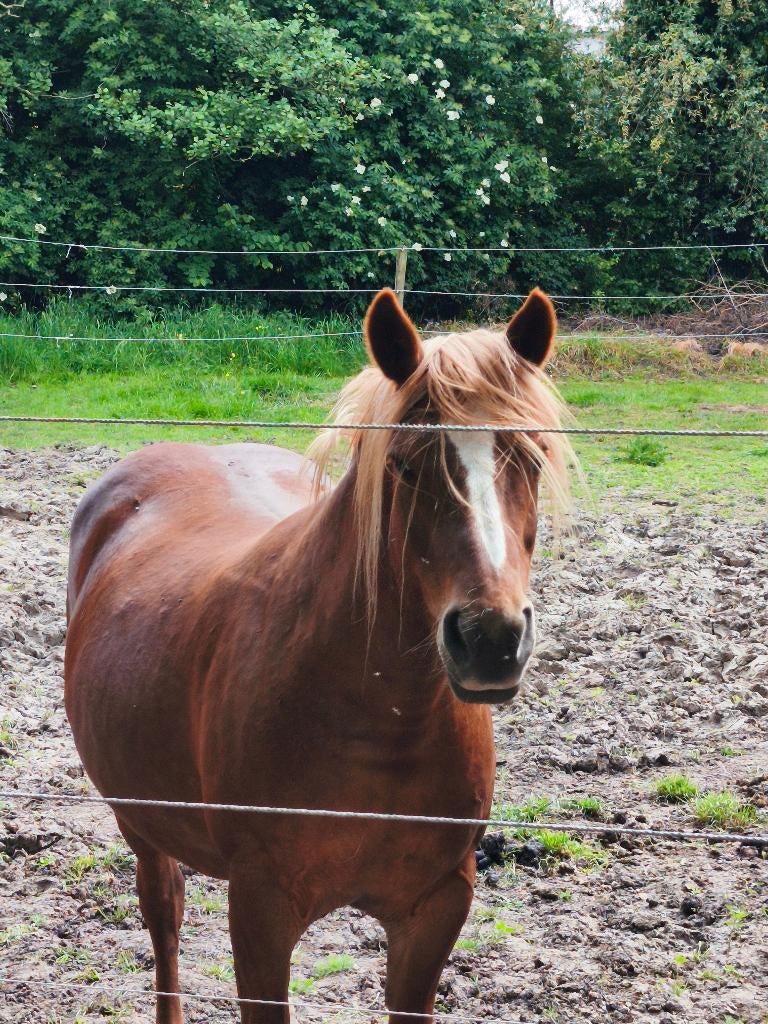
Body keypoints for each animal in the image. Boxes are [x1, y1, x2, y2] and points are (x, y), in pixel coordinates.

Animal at [64, 287, 571, 1024]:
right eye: (404, 465)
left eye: (531, 458)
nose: (490, 638)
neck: (381, 722)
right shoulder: (261, 907)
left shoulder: (436, 906)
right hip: (140, 819)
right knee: (164, 914)